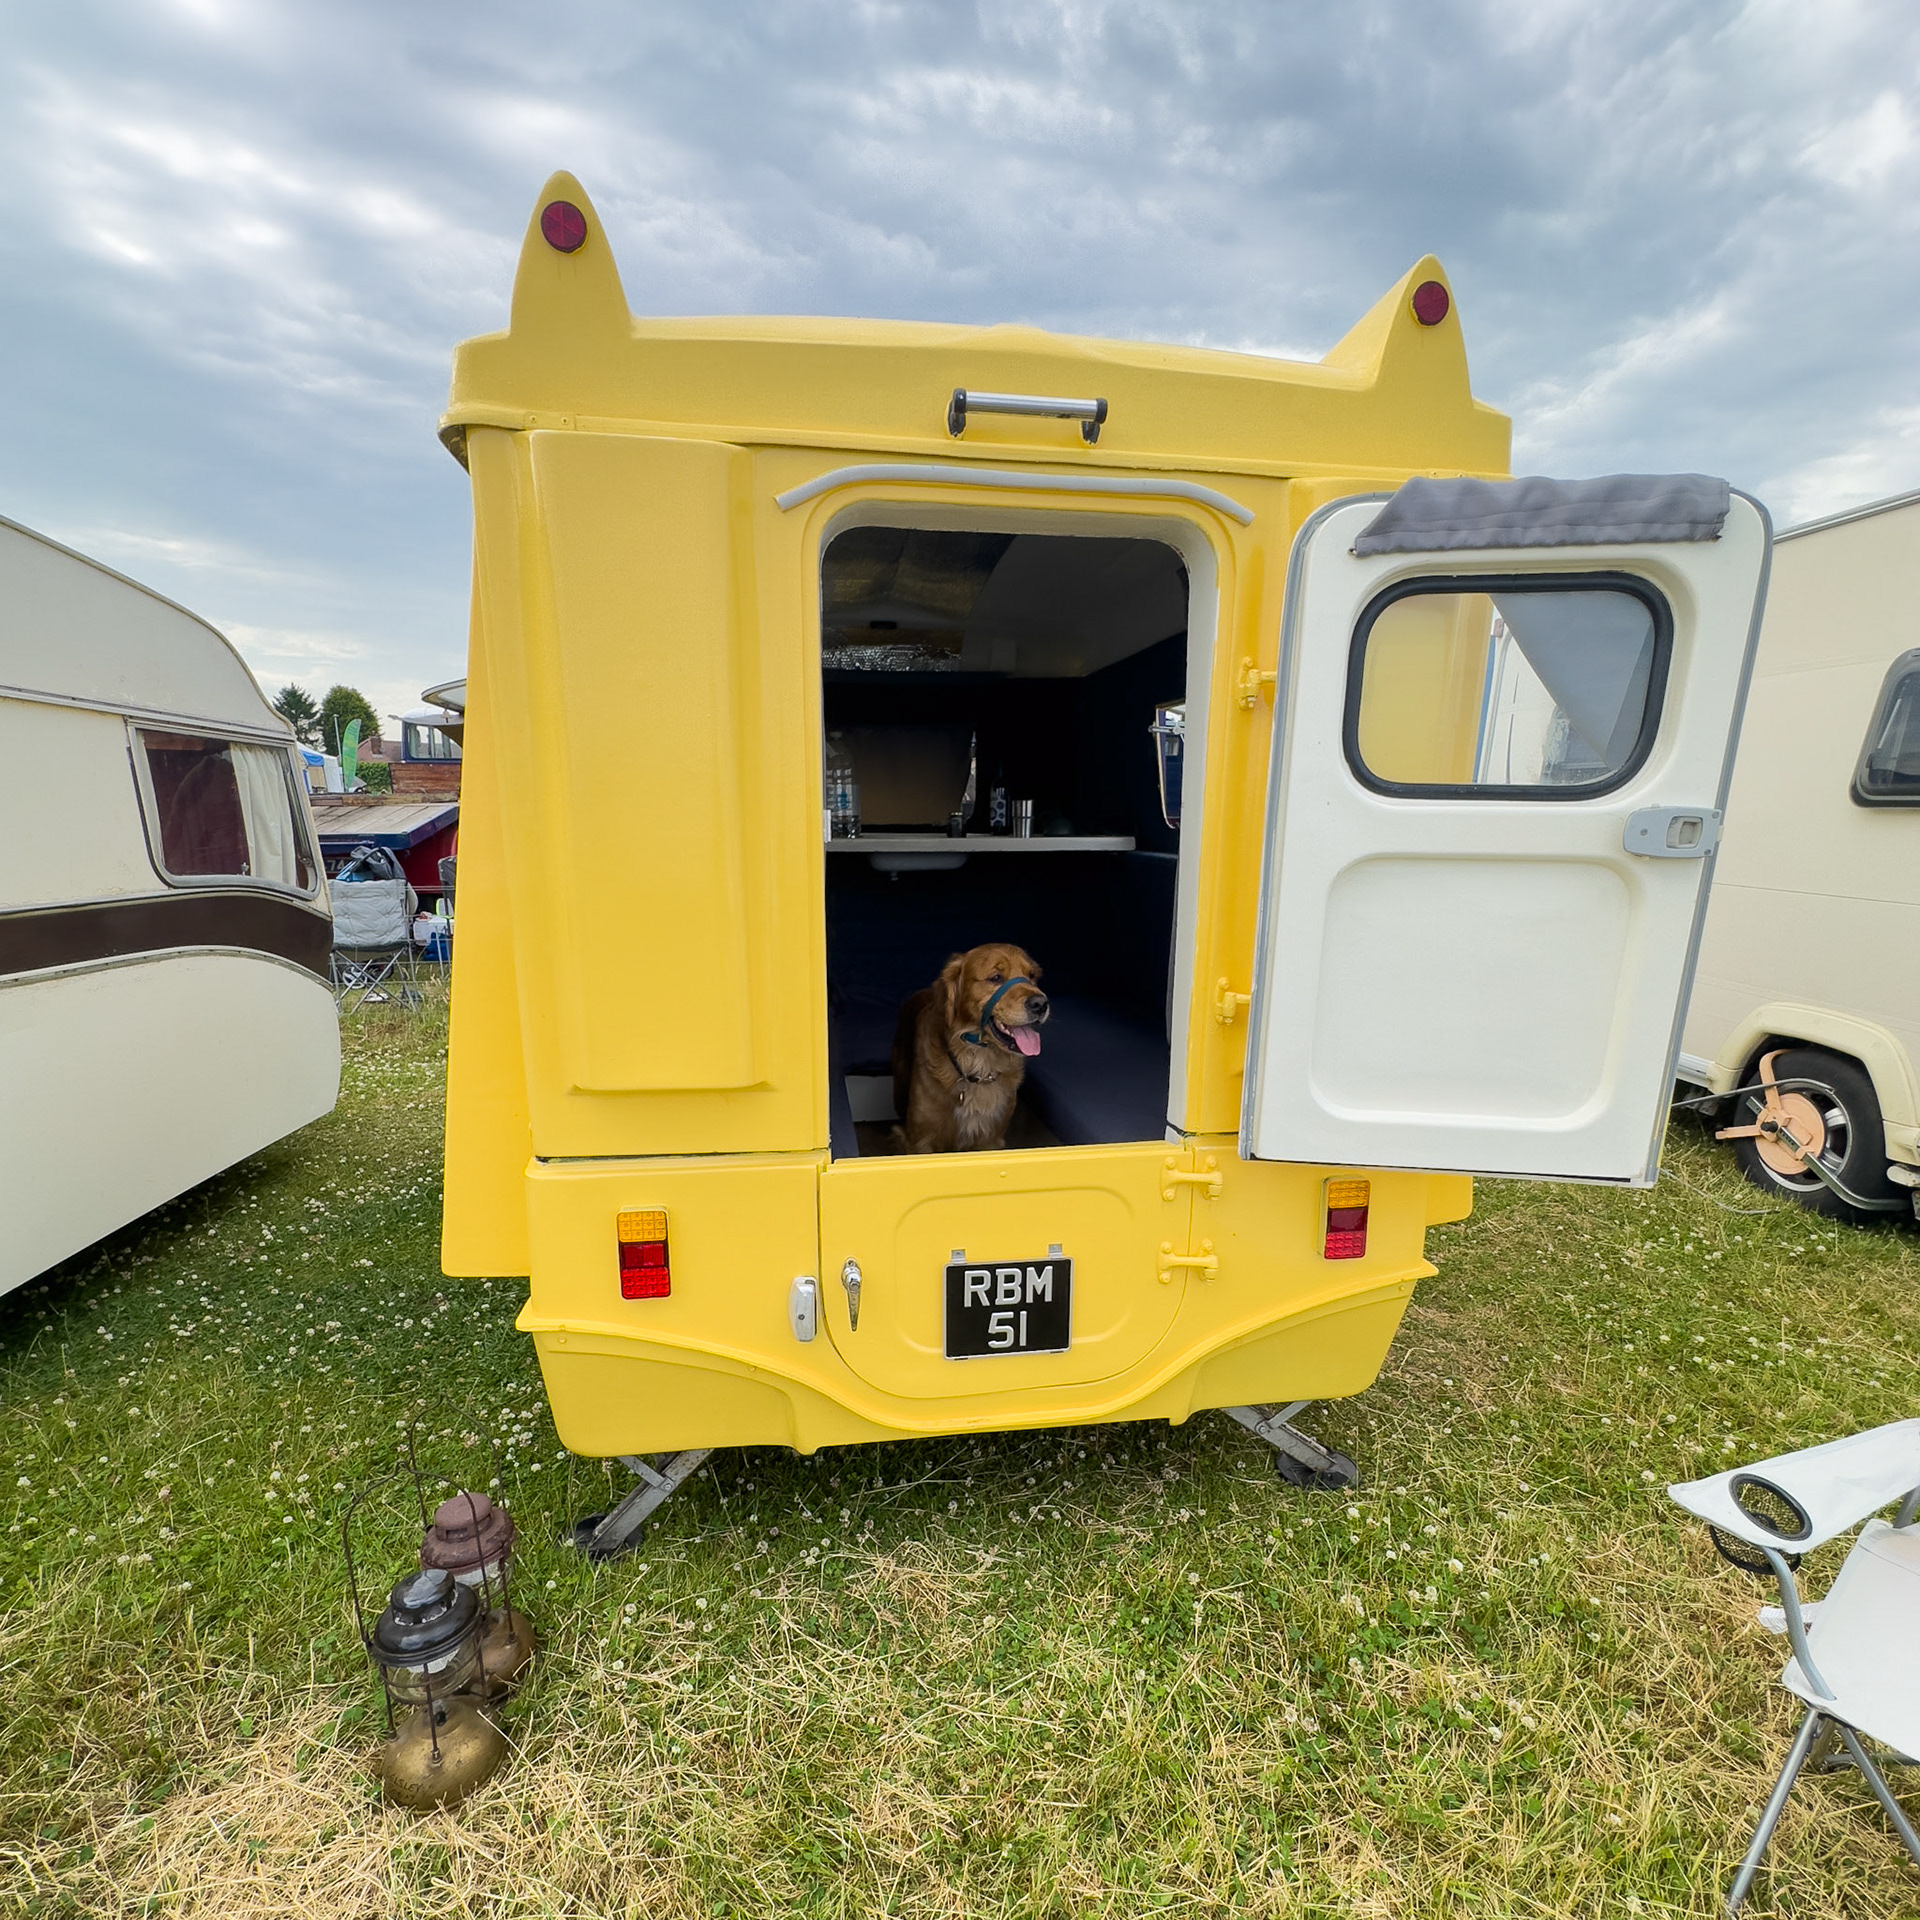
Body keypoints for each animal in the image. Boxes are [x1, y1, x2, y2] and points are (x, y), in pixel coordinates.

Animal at [892, 943, 1050, 1153]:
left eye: (1032, 975)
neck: (978, 1066)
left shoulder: (991, 1140)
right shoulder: (919, 1141)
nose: (1041, 1004)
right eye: (996, 977)